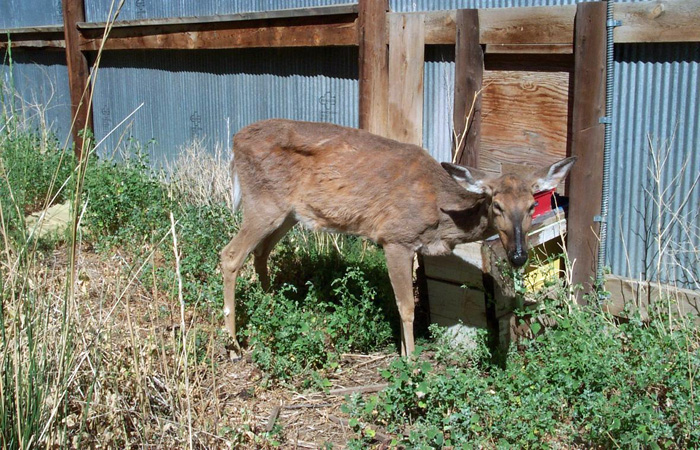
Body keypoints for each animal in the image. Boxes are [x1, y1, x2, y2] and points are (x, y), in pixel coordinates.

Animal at [221, 118, 576, 356]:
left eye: (532, 205)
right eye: (497, 205)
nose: (518, 255)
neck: (440, 213)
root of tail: (235, 142)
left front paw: (406, 353)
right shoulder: (395, 238)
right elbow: (406, 306)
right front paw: (412, 363)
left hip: (287, 213)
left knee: (260, 253)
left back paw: (273, 307)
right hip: (263, 203)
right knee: (230, 255)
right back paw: (234, 344)